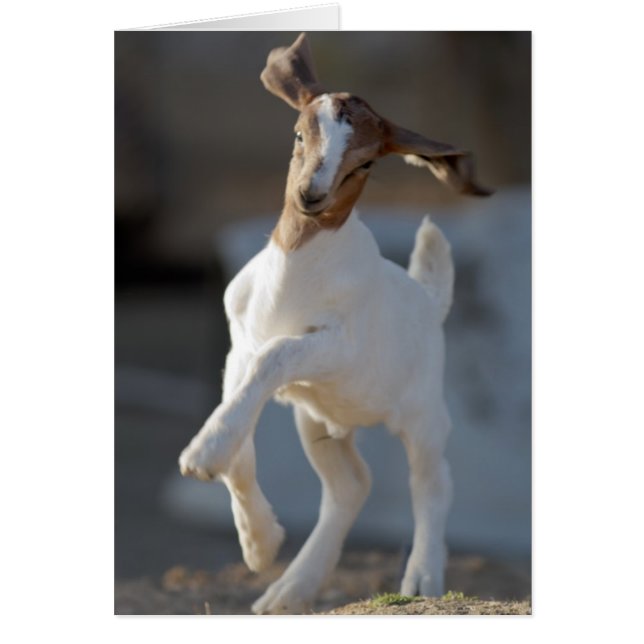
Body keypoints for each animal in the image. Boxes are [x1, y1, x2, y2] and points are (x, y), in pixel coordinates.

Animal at [178, 33, 491, 614]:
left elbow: (276, 354)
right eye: (298, 133)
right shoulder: (238, 349)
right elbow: (241, 443)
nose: (310, 195)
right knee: (351, 484)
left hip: (422, 410)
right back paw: (287, 590)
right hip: (317, 417)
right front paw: (258, 543)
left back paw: (422, 578)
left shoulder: (334, 346)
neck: (292, 281)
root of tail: (428, 298)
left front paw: (201, 455)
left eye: (365, 163)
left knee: (432, 480)